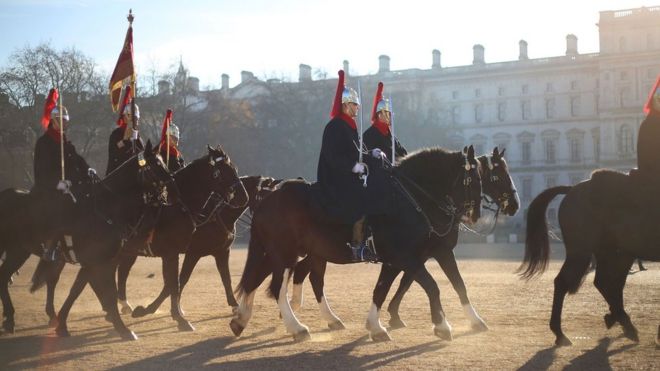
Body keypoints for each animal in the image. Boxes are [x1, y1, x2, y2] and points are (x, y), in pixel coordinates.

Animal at [0, 142, 175, 340]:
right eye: (156, 164)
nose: (172, 185)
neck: (107, 209)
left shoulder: (96, 262)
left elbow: (78, 290)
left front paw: (62, 324)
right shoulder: (99, 262)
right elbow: (107, 293)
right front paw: (123, 329)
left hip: (18, 250)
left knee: (5, 276)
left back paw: (11, 319)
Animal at [33, 146, 246, 338]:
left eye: (234, 168)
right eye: (222, 171)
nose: (243, 197)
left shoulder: (197, 252)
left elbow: (179, 282)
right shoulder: (178, 253)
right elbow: (174, 283)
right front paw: (173, 317)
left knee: (85, 280)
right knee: (71, 280)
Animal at [229, 146, 482, 342]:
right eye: (470, 180)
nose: (475, 215)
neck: (409, 199)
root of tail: (268, 196)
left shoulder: (409, 257)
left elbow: (383, 289)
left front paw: (376, 327)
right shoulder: (406, 257)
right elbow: (432, 286)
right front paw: (441, 326)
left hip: (288, 253)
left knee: (261, 278)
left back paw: (242, 319)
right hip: (284, 254)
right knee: (276, 286)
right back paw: (296, 327)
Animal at [292, 148, 520, 340]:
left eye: (483, 178)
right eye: (496, 176)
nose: (515, 205)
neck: (417, 201)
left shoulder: (434, 252)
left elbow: (452, 284)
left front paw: (474, 320)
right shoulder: (405, 257)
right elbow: (425, 285)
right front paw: (439, 324)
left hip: (318, 253)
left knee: (310, 275)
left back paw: (319, 315)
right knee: (305, 275)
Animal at [520, 170, 660, 348]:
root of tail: (573, 188)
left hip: (613, 251)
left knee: (606, 283)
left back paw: (618, 320)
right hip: (584, 251)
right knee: (566, 282)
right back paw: (561, 333)